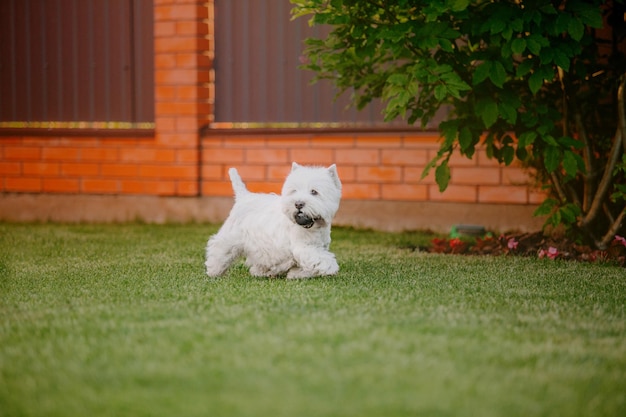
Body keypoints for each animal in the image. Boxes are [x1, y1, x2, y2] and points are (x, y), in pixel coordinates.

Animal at [204, 162, 342, 280]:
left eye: (314, 192)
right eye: (294, 191)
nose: (298, 204)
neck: (314, 227)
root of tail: (243, 196)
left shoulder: (320, 246)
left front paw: (296, 274)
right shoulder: (303, 247)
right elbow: (320, 259)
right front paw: (331, 267)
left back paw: (261, 272)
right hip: (231, 237)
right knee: (219, 249)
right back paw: (214, 271)